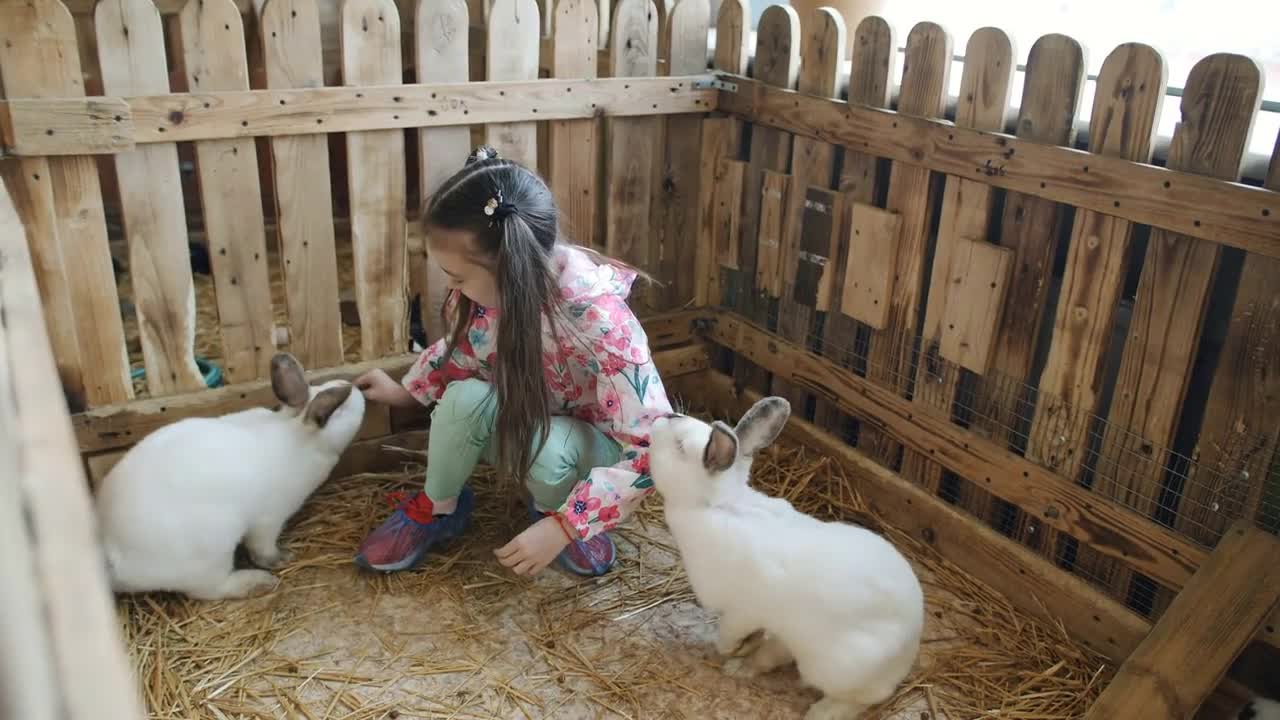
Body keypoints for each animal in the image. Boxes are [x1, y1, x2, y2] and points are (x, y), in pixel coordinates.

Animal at [94, 351, 363, 597]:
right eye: (339, 409)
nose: (358, 388)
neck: (296, 436)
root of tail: (112, 554)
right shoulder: (269, 520)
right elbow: (261, 549)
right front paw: (281, 558)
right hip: (211, 553)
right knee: (212, 589)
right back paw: (257, 582)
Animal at [650, 397, 921, 717]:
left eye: (680, 446)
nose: (665, 416)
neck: (717, 506)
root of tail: (909, 650)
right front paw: (742, 650)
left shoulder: (743, 610)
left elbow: (727, 634)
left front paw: (728, 648)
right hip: (793, 637)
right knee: (773, 654)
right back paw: (740, 668)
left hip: (834, 666)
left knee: (864, 698)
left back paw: (821, 712)